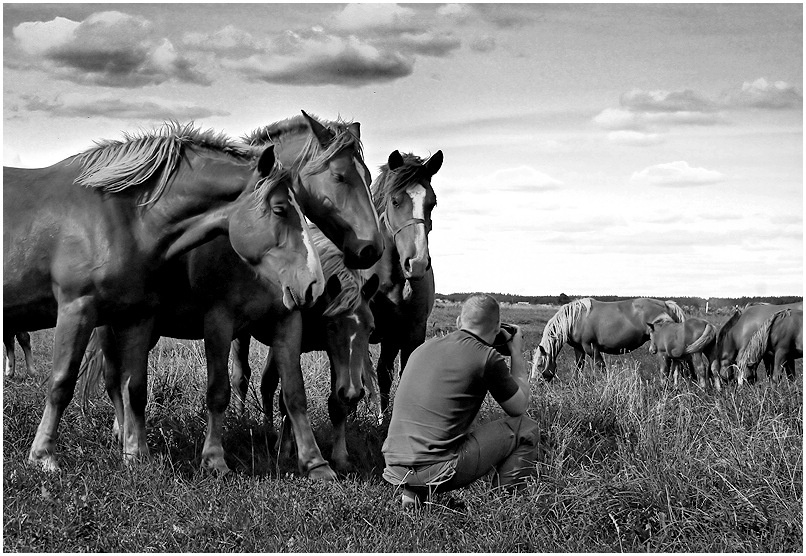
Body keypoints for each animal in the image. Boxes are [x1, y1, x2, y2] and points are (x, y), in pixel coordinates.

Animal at [4, 123, 323, 471]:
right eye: (280, 210)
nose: (314, 283)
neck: (122, 217)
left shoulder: (135, 317)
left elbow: (135, 387)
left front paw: (136, 454)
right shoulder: (77, 309)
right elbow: (62, 382)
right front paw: (43, 455)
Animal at [230, 226, 379, 473]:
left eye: (371, 328)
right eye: (332, 325)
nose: (353, 392)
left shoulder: (334, 357)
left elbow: (336, 404)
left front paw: (340, 456)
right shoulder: (295, 348)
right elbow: (286, 400)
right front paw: (285, 451)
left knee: (267, 383)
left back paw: (269, 429)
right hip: (242, 336)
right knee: (241, 378)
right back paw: (242, 421)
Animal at [531, 297, 687, 381]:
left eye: (539, 364)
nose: (533, 383)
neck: (575, 318)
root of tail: (667, 304)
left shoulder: (590, 347)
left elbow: (601, 366)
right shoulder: (579, 348)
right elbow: (579, 367)